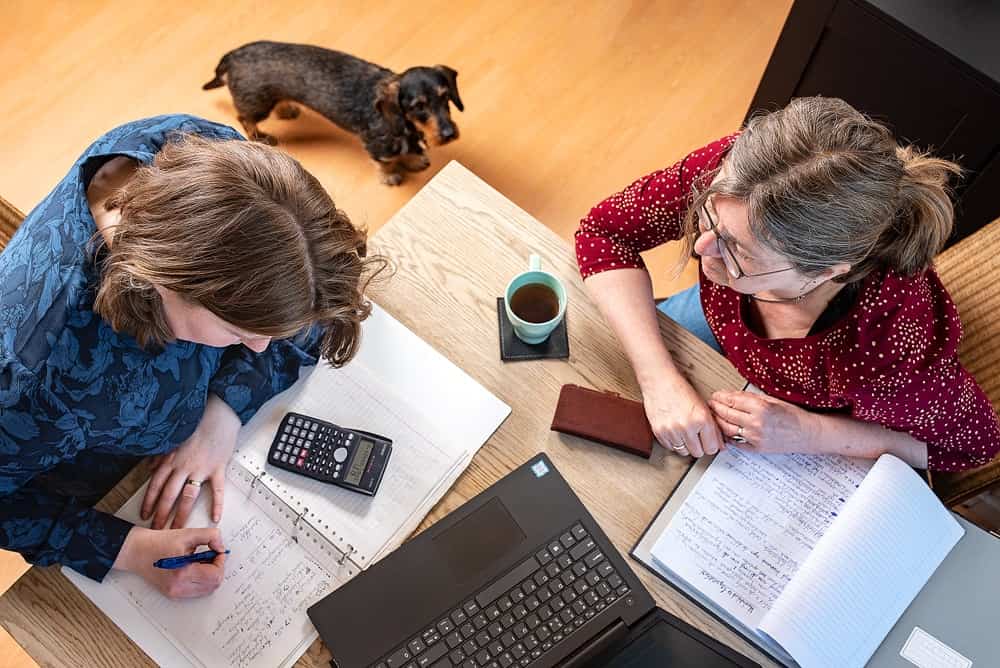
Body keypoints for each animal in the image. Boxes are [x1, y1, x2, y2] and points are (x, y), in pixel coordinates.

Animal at [206, 42, 468, 184]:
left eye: (445, 96)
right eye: (418, 106)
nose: (449, 133)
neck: (402, 122)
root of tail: (234, 56)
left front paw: (413, 160)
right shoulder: (376, 145)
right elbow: (387, 161)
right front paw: (391, 176)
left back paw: (287, 108)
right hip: (258, 104)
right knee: (244, 118)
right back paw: (260, 137)